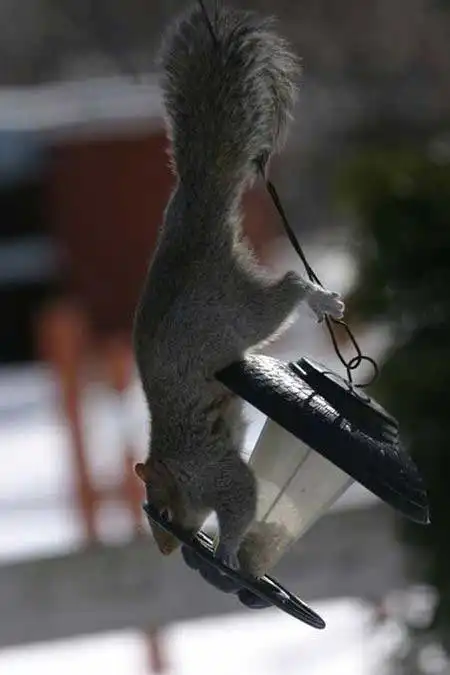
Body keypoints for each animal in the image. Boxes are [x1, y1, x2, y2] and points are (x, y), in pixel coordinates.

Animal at [133, 1, 345, 572]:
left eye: (161, 509)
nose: (166, 550)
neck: (176, 458)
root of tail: (199, 216)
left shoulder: (211, 466)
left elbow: (241, 493)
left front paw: (226, 551)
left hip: (241, 312)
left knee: (288, 286)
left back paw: (321, 298)